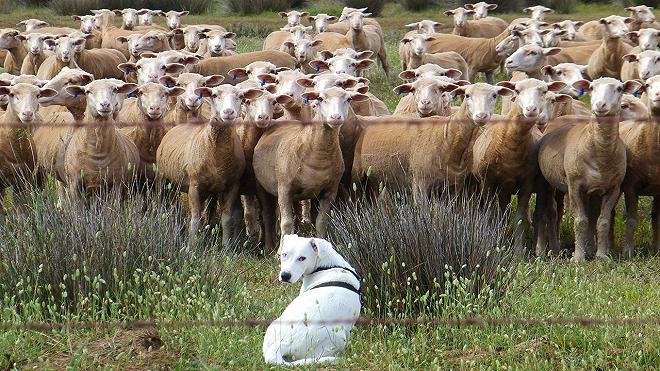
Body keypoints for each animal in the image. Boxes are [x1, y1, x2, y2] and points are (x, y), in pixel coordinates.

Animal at [157, 85, 262, 246]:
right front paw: (191, 246)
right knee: (166, 205)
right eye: (214, 95)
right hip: (164, 179)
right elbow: (195, 220)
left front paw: (226, 246)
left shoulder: (232, 186)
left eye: (241, 97)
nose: (228, 112)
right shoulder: (194, 186)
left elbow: (226, 218)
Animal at [253, 85, 368, 251]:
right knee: (268, 215)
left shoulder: (330, 191)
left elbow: (321, 221)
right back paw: (269, 246)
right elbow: (286, 223)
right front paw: (280, 251)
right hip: (262, 186)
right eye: (320, 98)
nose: (336, 117)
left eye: (349, 99)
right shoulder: (284, 189)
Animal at [536, 77, 640, 262]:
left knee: (590, 216)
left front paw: (601, 256)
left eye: (620, 89)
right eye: (592, 87)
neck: (600, 150)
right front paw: (578, 258)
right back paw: (545, 250)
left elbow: (602, 222)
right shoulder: (575, 186)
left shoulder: (613, 188)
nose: (600, 105)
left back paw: (589, 249)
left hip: (593, 190)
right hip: (545, 181)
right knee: (547, 211)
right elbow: (580, 221)